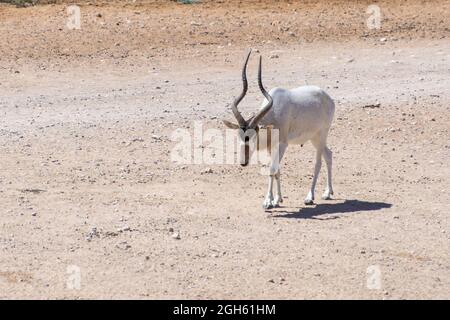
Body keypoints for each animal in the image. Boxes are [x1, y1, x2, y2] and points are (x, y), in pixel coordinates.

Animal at [223, 51, 336, 209]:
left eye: (253, 136)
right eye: (239, 136)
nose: (243, 162)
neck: (274, 113)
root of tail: (329, 98)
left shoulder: (282, 144)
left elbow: (272, 169)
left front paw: (267, 202)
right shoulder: (271, 147)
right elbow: (277, 170)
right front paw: (277, 199)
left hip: (322, 134)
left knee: (318, 162)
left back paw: (310, 197)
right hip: (314, 138)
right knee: (329, 155)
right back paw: (327, 193)